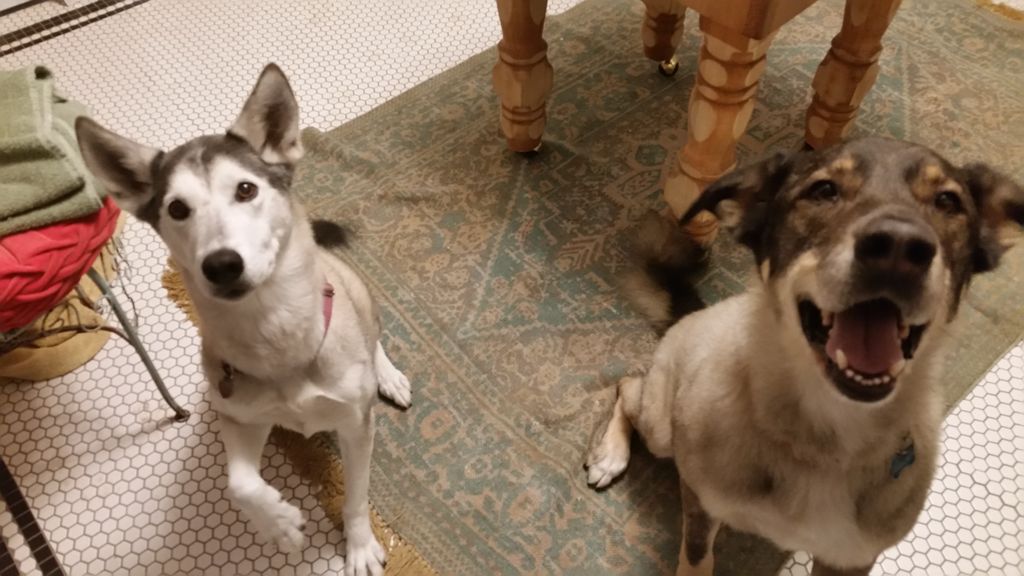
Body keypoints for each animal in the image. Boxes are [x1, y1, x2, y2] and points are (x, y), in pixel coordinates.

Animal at [75, 65, 407, 569]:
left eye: (246, 189)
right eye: (177, 208)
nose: (222, 264)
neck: (273, 329)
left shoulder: (355, 424)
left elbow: (356, 495)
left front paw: (361, 546)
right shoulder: (240, 418)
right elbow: (240, 483)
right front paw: (277, 522)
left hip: (355, 290)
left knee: (374, 335)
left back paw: (387, 374)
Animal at [589, 138, 1019, 573]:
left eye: (948, 200)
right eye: (823, 190)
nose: (899, 247)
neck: (824, 440)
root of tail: (693, 313)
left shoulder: (850, 559)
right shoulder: (700, 502)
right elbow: (696, 558)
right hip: (662, 425)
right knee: (627, 385)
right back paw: (610, 455)